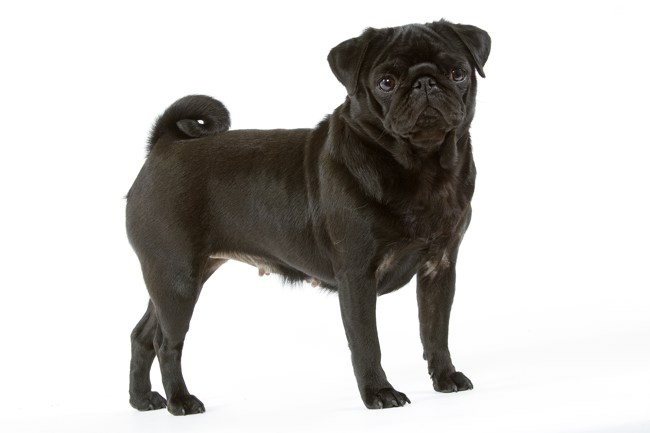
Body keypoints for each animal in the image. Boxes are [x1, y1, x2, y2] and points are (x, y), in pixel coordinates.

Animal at [126, 19, 490, 415]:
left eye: (457, 73)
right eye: (386, 82)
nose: (426, 82)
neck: (421, 167)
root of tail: (164, 145)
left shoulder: (439, 268)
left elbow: (436, 332)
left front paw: (445, 377)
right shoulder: (357, 276)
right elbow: (367, 343)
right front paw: (378, 392)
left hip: (177, 277)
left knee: (142, 335)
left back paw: (142, 399)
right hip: (177, 278)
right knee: (167, 344)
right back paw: (180, 400)